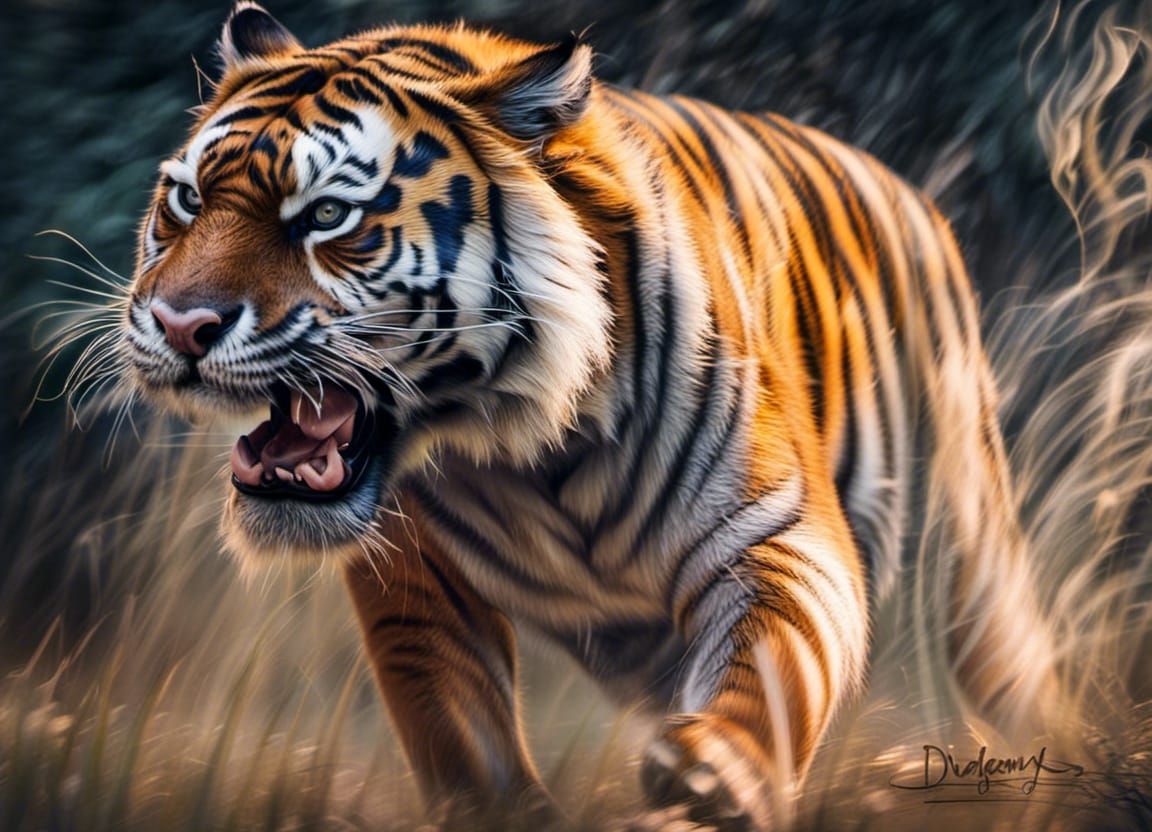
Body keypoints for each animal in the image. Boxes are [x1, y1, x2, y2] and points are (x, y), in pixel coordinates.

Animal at [108, 2, 1063, 829]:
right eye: (188, 201)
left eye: (329, 216)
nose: (180, 324)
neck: (523, 448)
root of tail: (903, 186)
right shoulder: (416, 580)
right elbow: (456, 724)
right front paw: (508, 814)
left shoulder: (777, 531)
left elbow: (772, 663)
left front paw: (715, 772)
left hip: (973, 565)